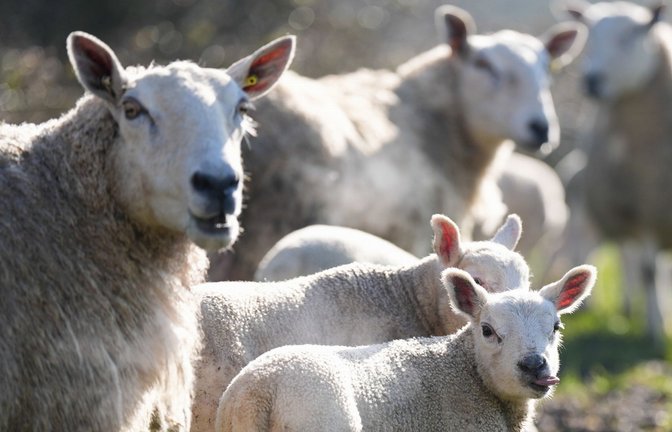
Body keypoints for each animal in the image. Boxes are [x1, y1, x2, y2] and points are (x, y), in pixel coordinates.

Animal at [560, 0, 672, 343]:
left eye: (632, 35)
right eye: (589, 38)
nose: (591, 81)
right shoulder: (642, 206)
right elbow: (648, 271)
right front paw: (655, 330)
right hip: (618, 209)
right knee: (630, 260)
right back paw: (629, 309)